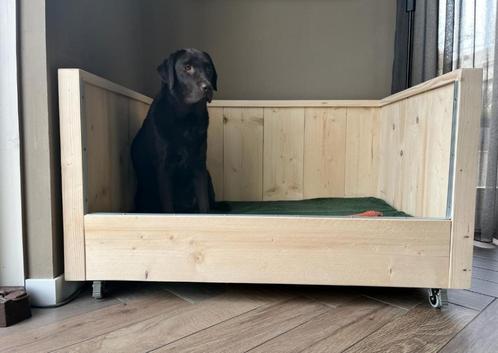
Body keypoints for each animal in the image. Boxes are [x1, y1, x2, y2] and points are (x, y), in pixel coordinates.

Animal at [132, 48, 218, 213]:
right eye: (187, 67)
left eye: (209, 69)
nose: (208, 87)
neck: (186, 120)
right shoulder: (163, 168)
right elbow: (168, 207)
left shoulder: (199, 166)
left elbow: (204, 204)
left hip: (208, 175)